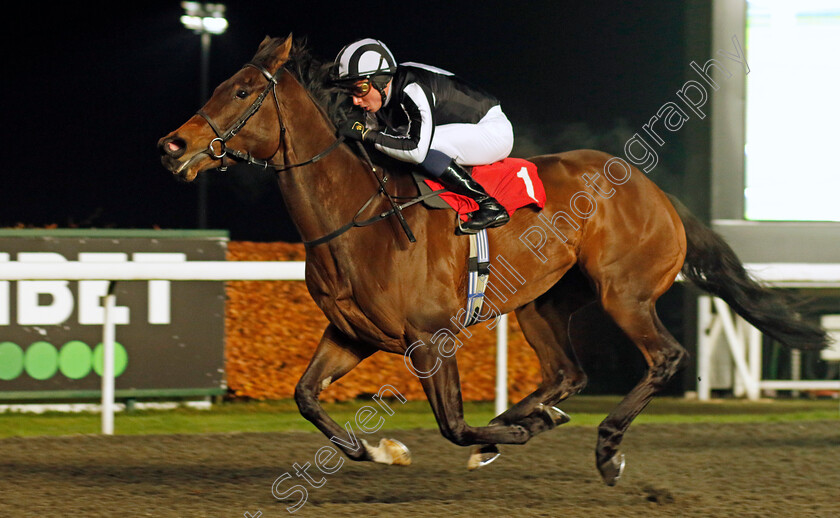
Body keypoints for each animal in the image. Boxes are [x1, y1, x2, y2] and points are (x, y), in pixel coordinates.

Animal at [158, 36, 828, 488]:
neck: (358, 215)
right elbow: (305, 396)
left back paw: (604, 447)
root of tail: (656, 191)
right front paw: (381, 451)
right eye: (220, 87)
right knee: (566, 374)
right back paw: (533, 420)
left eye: (242, 91)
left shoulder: (430, 337)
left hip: (625, 294)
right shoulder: (353, 332)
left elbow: (453, 424)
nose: (173, 145)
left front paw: (491, 437)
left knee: (663, 358)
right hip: (544, 302)